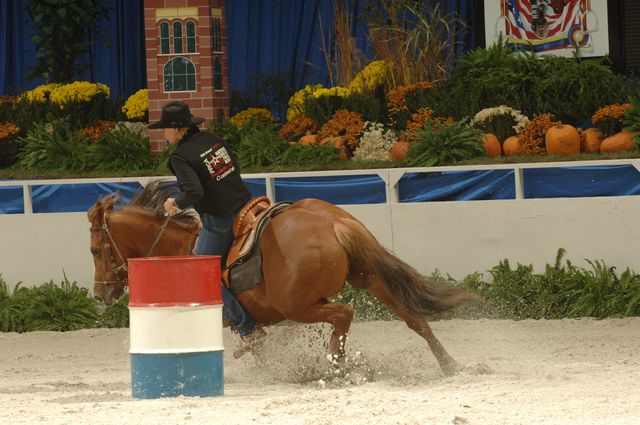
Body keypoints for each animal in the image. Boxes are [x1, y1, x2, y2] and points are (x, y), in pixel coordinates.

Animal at [89, 179, 480, 374]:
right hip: (369, 278)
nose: (100, 294)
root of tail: (332, 222)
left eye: (95, 250)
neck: (180, 247)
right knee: (414, 319)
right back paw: (449, 365)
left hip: (297, 305)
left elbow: (255, 343)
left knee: (345, 314)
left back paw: (335, 367)